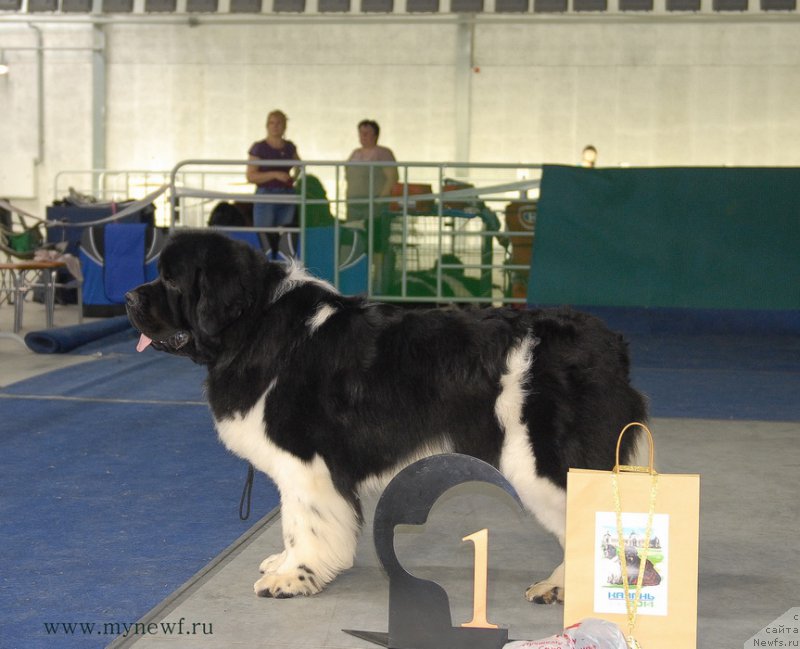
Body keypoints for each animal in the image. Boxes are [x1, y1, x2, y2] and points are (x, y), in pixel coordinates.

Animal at [126, 232, 648, 604]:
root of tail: (610, 344)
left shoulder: (305, 461)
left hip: (544, 460)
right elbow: (294, 521)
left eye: (172, 282)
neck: (253, 323)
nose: (129, 299)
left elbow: (304, 519)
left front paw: (293, 577)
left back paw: (561, 587)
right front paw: (283, 563)